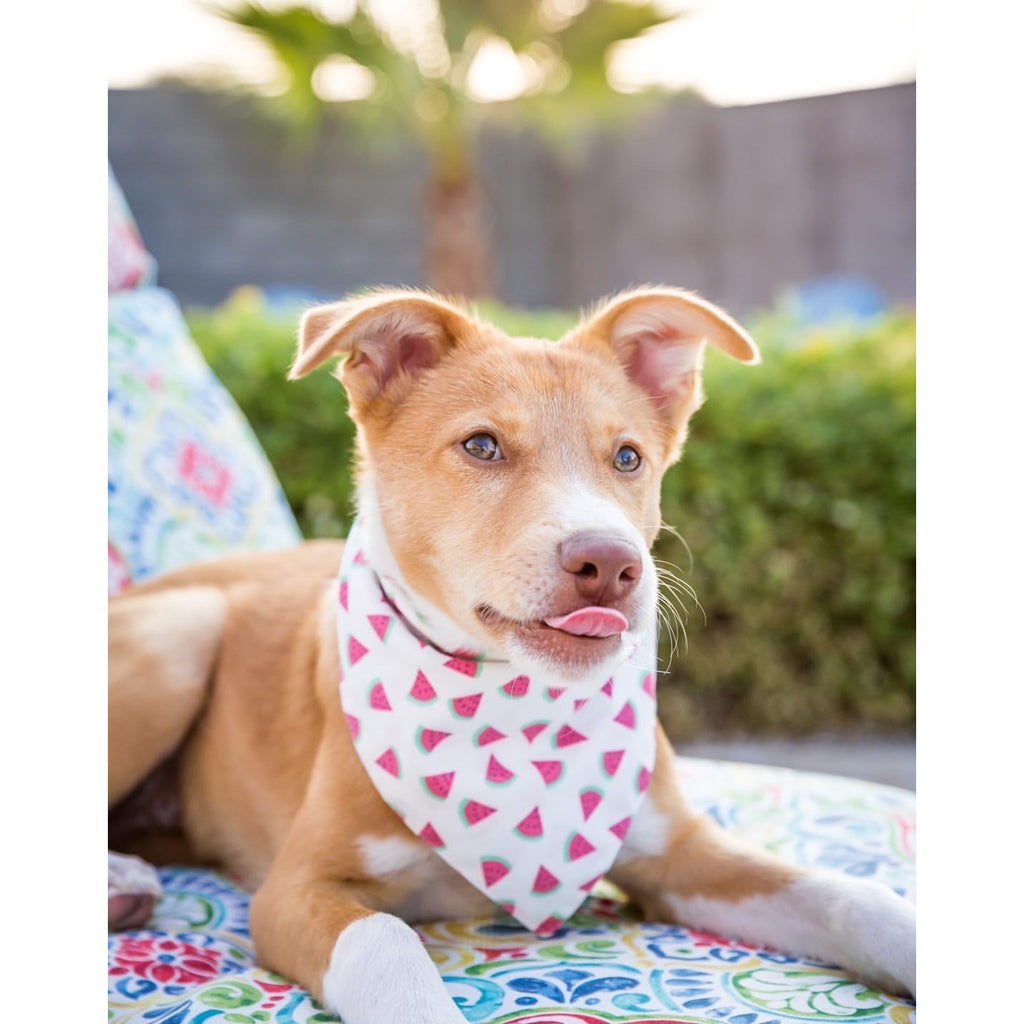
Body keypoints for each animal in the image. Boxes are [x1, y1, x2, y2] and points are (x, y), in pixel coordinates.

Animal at [108, 288, 917, 1024]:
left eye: (628, 457)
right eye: (481, 446)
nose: (610, 565)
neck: (512, 711)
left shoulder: (680, 854)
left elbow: (849, 893)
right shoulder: (296, 889)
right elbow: (387, 945)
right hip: (183, 631)